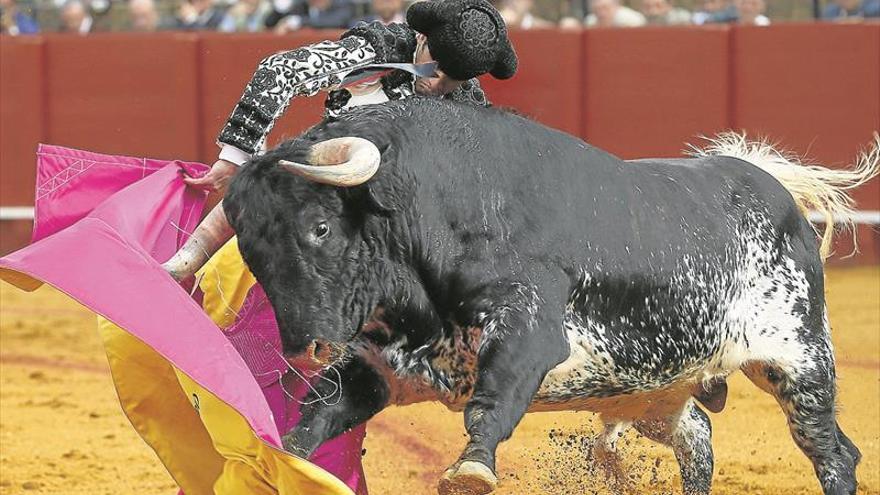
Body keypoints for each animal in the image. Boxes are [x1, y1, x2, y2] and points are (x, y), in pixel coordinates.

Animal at [223, 99, 864, 495]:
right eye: (250, 251)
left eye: (320, 228)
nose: (304, 349)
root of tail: (772, 186)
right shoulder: (374, 368)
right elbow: (313, 422)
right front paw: (276, 458)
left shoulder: (530, 327)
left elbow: (493, 397)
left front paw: (470, 470)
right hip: (655, 392)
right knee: (698, 441)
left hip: (801, 362)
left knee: (832, 454)